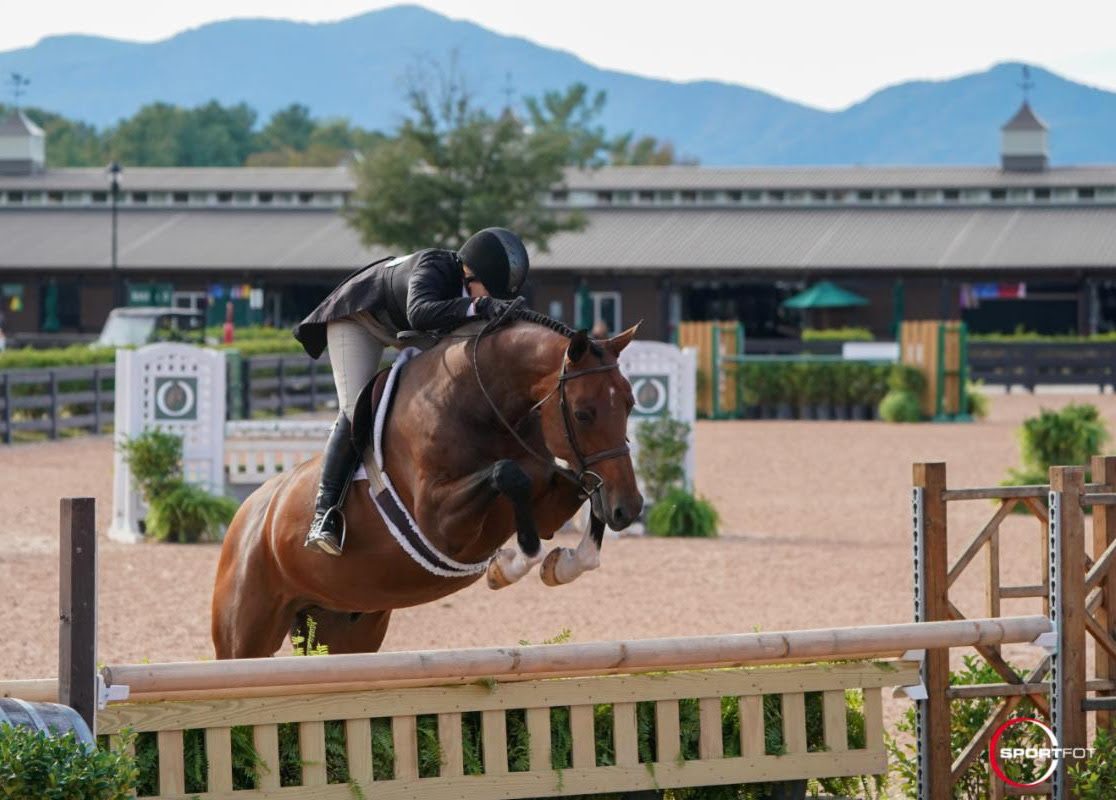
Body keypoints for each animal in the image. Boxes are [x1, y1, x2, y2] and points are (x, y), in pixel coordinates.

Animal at [211, 317, 643, 659]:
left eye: (630, 403)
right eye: (583, 413)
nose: (630, 508)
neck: (484, 403)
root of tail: (250, 513)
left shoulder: (551, 498)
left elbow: (585, 494)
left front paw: (564, 564)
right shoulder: (440, 523)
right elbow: (508, 476)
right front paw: (507, 565)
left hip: (345, 628)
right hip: (245, 635)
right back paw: (323, 529)